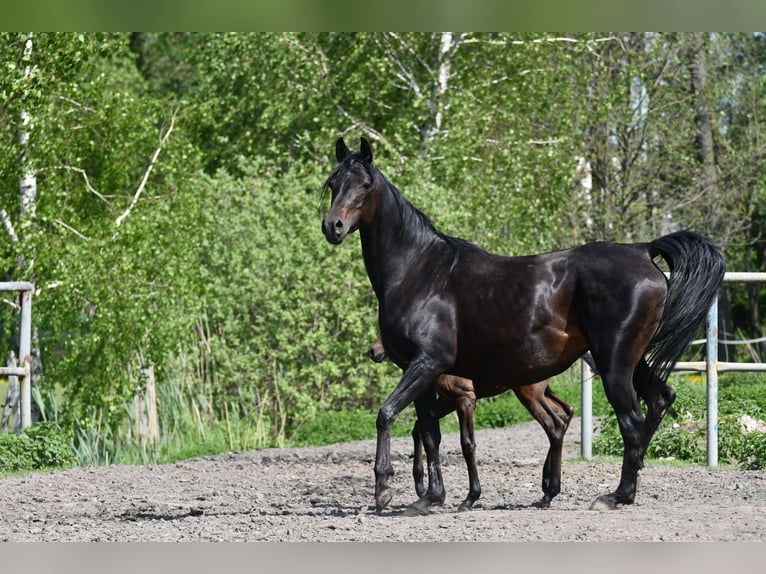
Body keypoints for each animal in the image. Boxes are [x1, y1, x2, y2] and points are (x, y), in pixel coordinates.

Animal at [368, 336, 572, 516]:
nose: (373, 351)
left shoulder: (464, 399)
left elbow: (467, 444)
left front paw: (470, 498)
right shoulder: (447, 401)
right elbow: (420, 429)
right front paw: (421, 487)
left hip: (529, 393)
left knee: (554, 425)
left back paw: (549, 492)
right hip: (541, 392)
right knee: (565, 414)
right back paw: (547, 486)